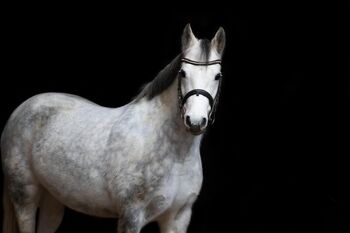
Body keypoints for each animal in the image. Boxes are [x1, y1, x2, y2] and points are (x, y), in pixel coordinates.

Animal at [1, 24, 226, 233]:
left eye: (217, 76)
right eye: (183, 73)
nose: (195, 121)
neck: (175, 154)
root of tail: (21, 110)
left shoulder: (178, 218)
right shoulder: (131, 216)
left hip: (53, 199)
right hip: (25, 198)